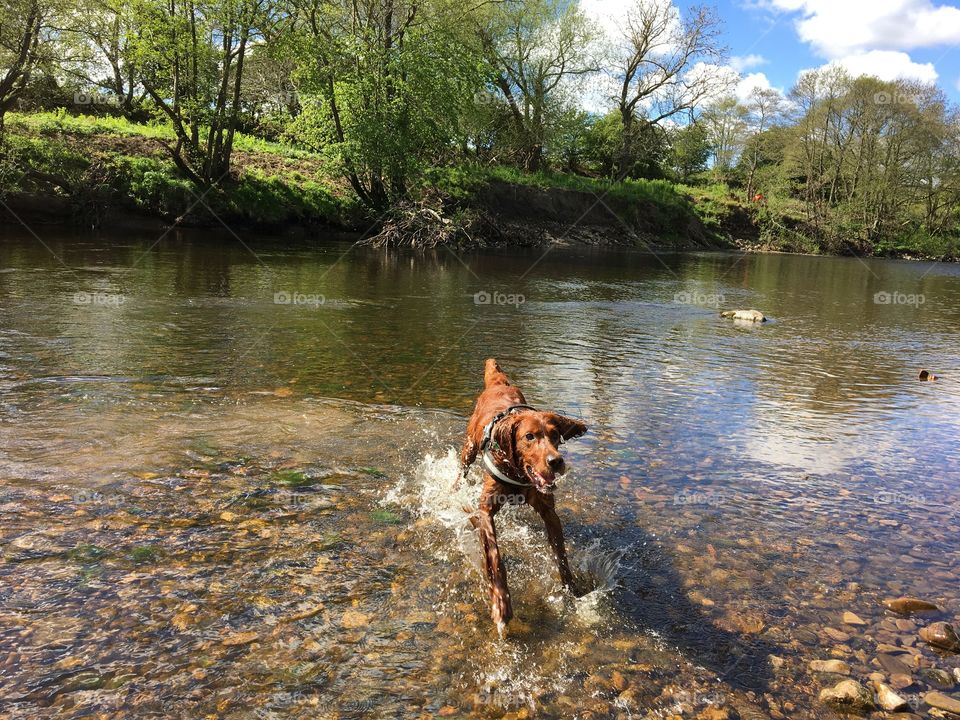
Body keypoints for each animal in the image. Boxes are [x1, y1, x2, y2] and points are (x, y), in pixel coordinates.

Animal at [456, 358, 584, 632]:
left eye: (555, 435)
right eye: (529, 437)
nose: (556, 462)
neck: (517, 472)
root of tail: (498, 383)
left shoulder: (549, 511)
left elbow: (562, 556)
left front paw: (573, 592)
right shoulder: (486, 508)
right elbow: (494, 556)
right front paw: (501, 603)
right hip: (469, 448)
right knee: (459, 474)